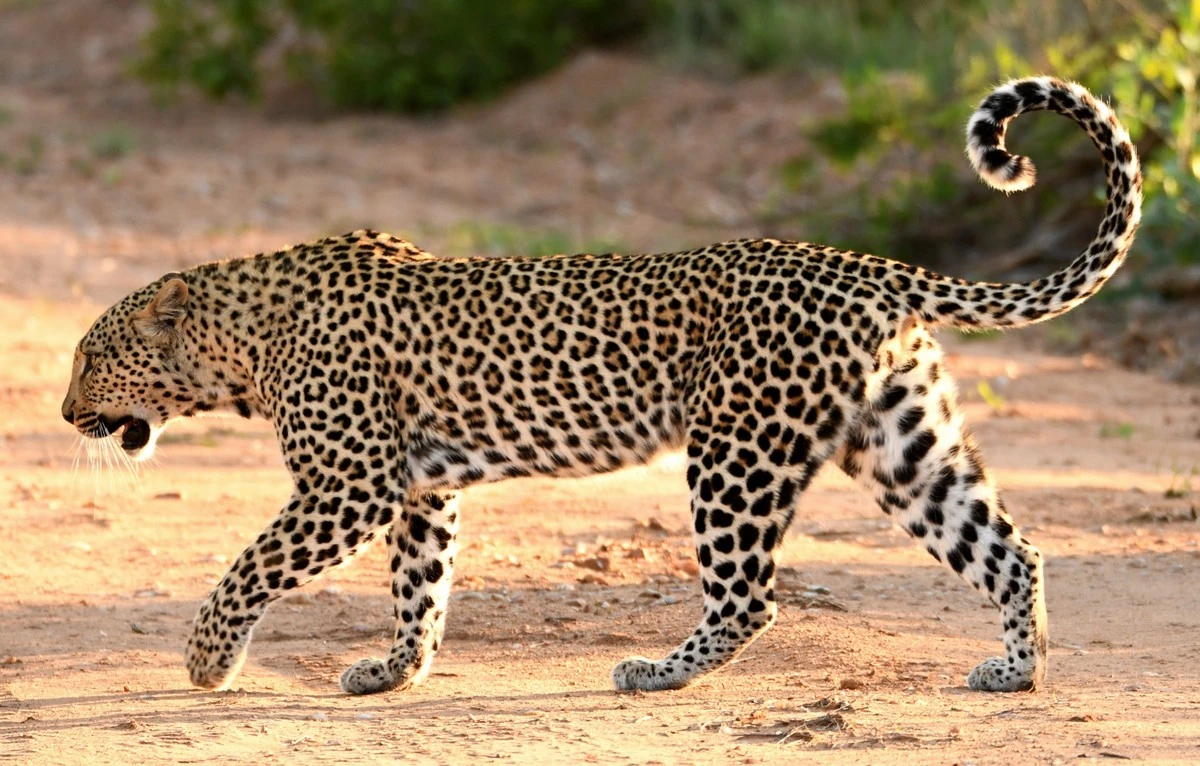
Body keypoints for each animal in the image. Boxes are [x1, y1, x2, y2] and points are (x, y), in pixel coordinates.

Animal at [61, 77, 1141, 695]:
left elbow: (252, 566)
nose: (67, 412)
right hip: (903, 442)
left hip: (737, 451)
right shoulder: (419, 487)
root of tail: (863, 265)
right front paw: (392, 672)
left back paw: (655, 673)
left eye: (89, 357)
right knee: (1011, 551)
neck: (243, 340)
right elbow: (422, 586)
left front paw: (206, 661)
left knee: (751, 596)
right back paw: (1015, 672)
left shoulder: (350, 486)